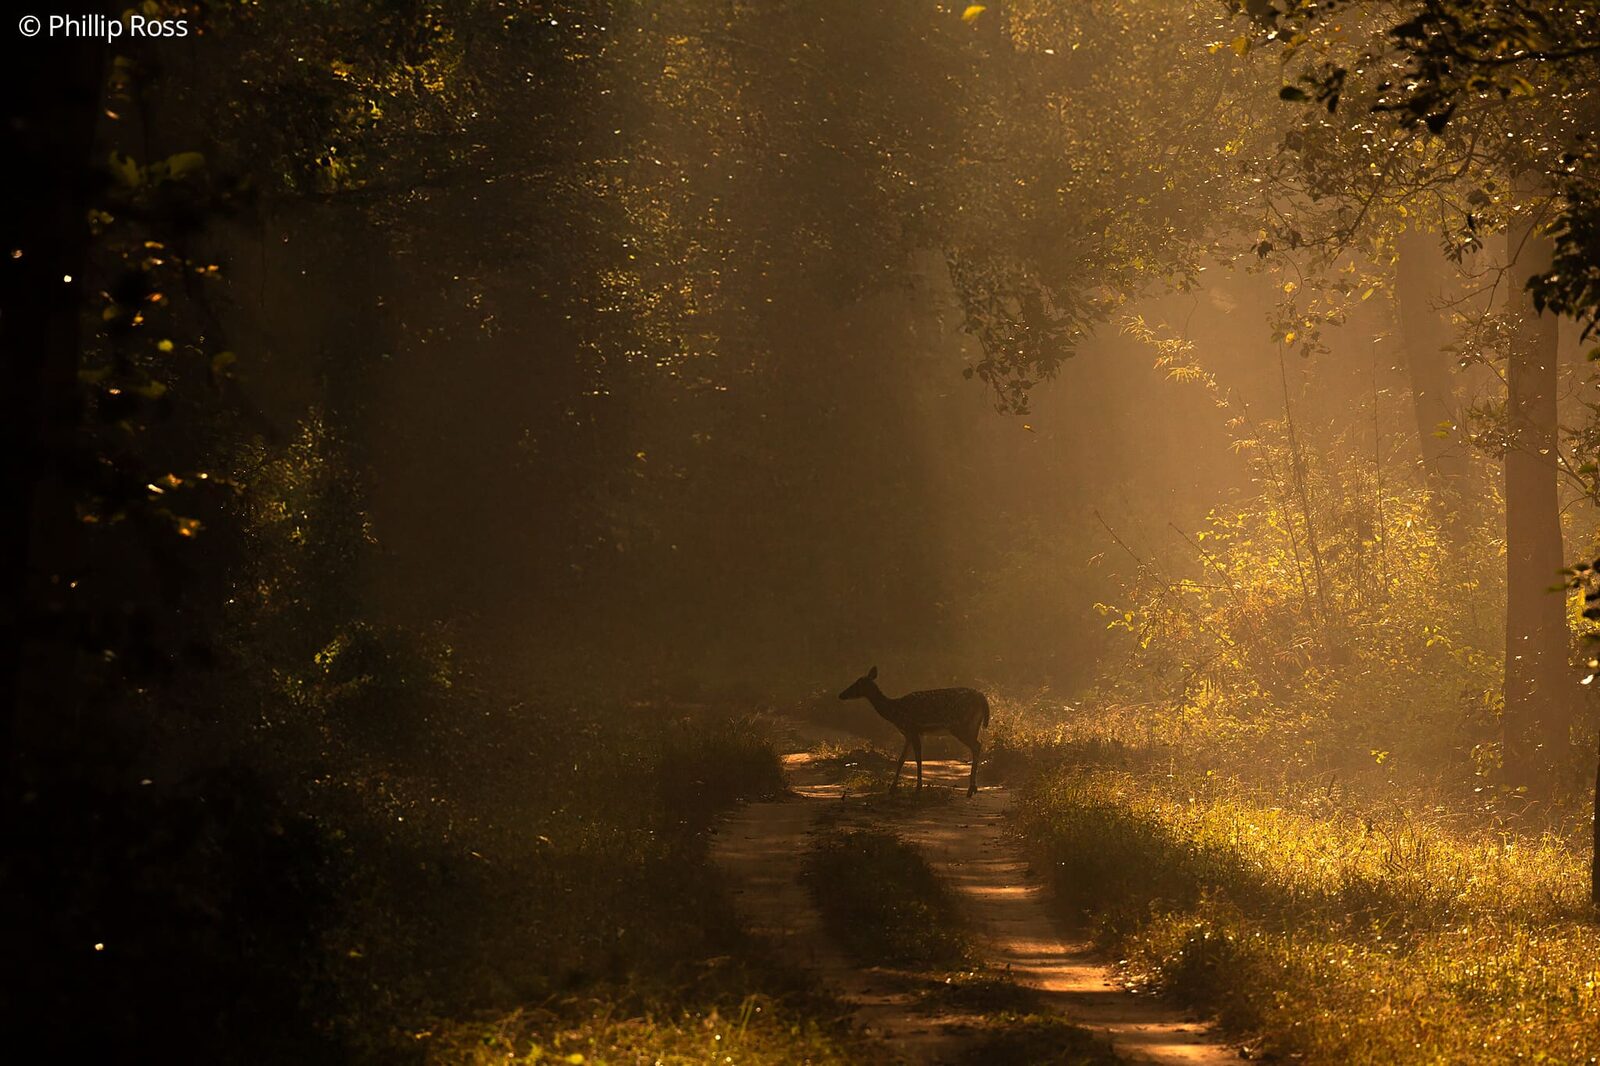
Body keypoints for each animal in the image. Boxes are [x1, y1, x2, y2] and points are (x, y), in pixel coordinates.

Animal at [837, 666, 989, 797]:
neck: (895, 713)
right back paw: (974, 788)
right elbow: (901, 759)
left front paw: (918, 788)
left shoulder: (913, 729)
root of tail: (982, 698)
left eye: (858, 684)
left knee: (976, 745)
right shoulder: (908, 734)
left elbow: (918, 758)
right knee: (977, 745)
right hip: (973, 725)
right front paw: (892, 788)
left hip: (960, 725)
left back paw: (970, 789)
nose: (841, 694)